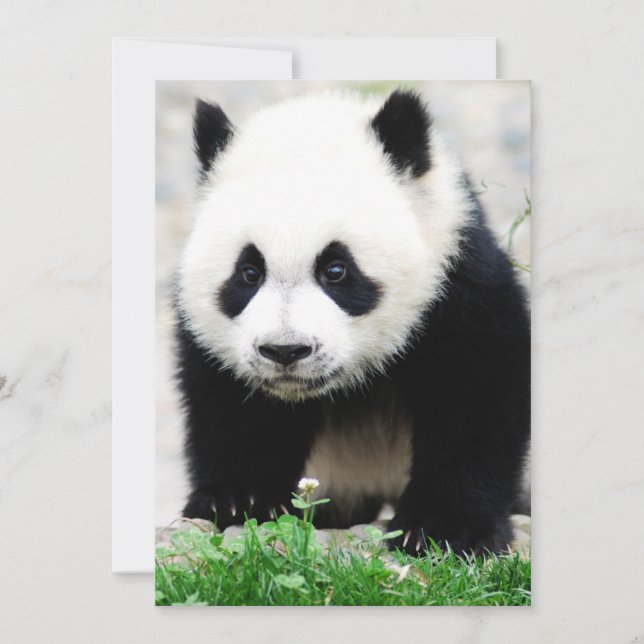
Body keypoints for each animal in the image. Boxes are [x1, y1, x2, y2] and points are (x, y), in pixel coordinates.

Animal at [176, 89, 530, 556]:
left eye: (336, 270)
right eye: (249, 272)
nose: (285, 351)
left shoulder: (457, 277)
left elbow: (476, 391)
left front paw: (443, 528)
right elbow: (230, 406)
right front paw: (237, 500)